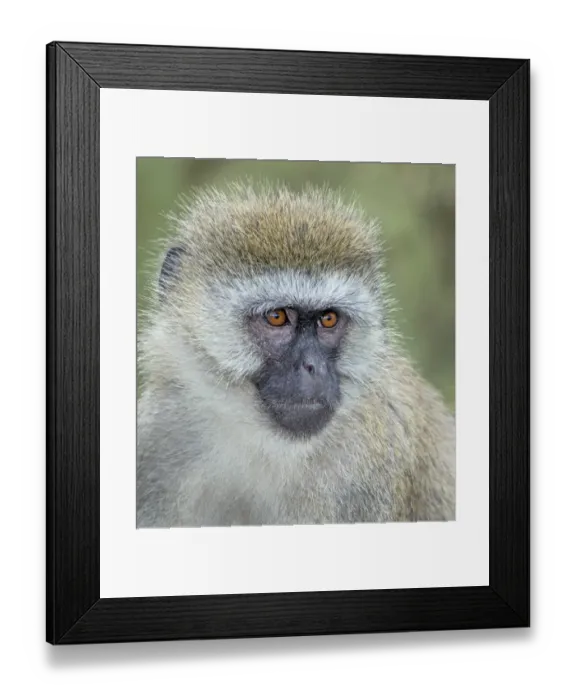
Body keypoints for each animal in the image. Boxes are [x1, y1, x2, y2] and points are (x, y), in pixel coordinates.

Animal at [136, 181, 456, 528]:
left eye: (328, 319)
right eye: (277, 317)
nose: (313, 367)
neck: (260, 445)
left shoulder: (365, 471)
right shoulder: (159, 434)